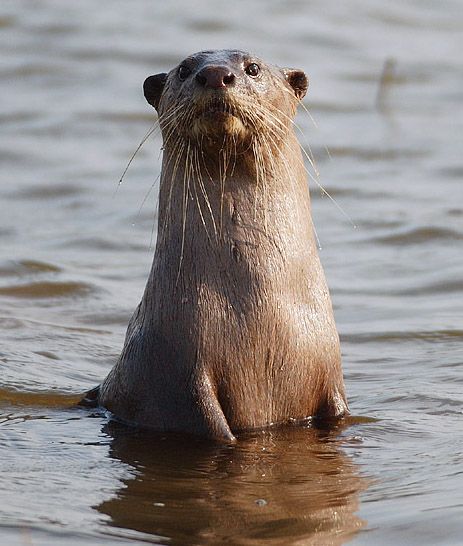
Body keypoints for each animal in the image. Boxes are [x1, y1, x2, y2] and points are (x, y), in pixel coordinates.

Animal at [92, 49, 350, 440]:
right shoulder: (180, 375)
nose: (215, 74)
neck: (260, 314)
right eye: (184, 69)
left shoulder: (330, 376)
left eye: (253, 68)